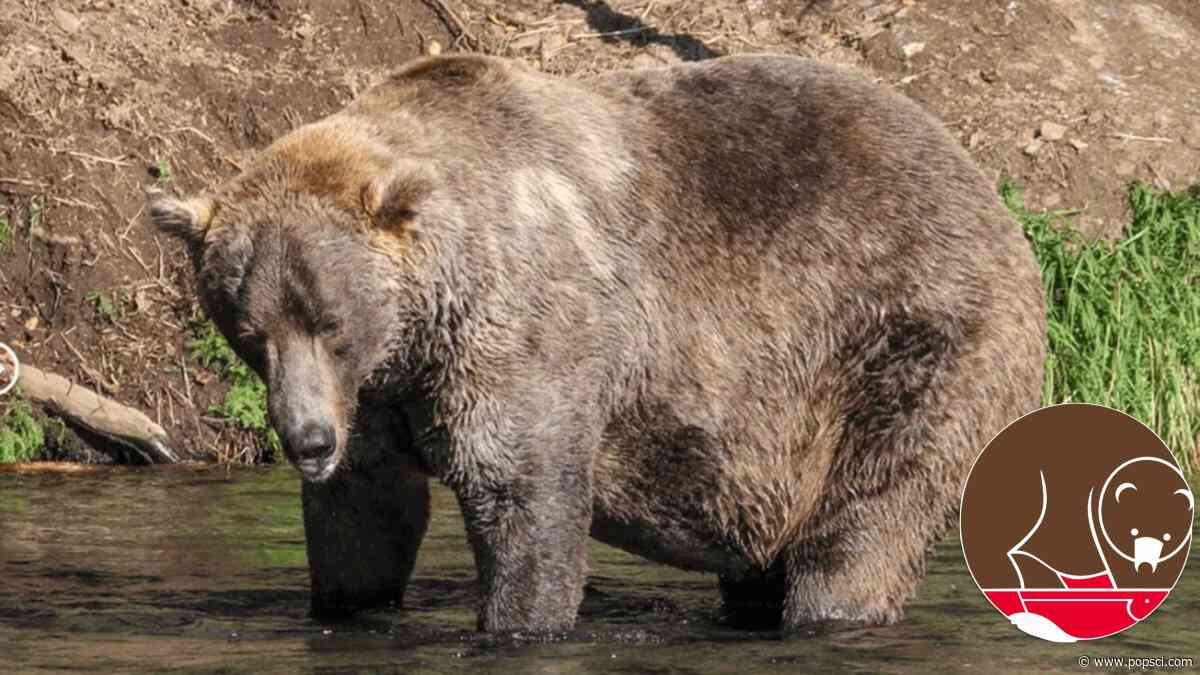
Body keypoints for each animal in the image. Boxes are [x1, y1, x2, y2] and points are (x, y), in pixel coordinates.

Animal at [151, 53, 1047, 633]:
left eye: (331, 323)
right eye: (251, 331)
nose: (306, 440)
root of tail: (987, 188)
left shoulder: (524, 331)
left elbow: (524, 491)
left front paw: (518, 620)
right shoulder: (380, 395)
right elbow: (366, 515)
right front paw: (348, 602)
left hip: (906, 338)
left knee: (868, 515)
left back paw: (834, 608)